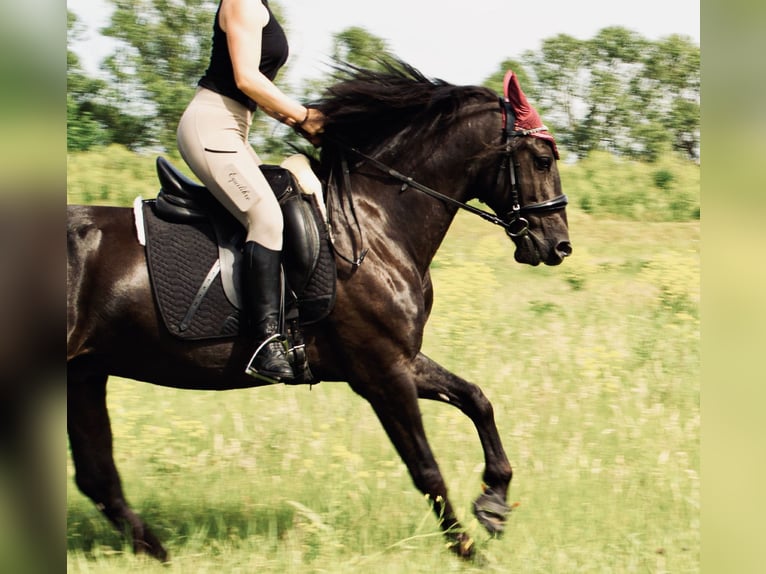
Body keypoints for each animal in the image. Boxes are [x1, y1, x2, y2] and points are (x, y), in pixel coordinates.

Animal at [67, 63, 568, 564]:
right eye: (543, 160)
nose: (559, 245)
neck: (374, 226)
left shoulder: (399, 361)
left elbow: (476, 399)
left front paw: (494, 503)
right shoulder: (382, 372)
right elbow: (426, 468)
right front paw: (467, 549)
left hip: (86, 373)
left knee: (98, 478)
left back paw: (159, 553)